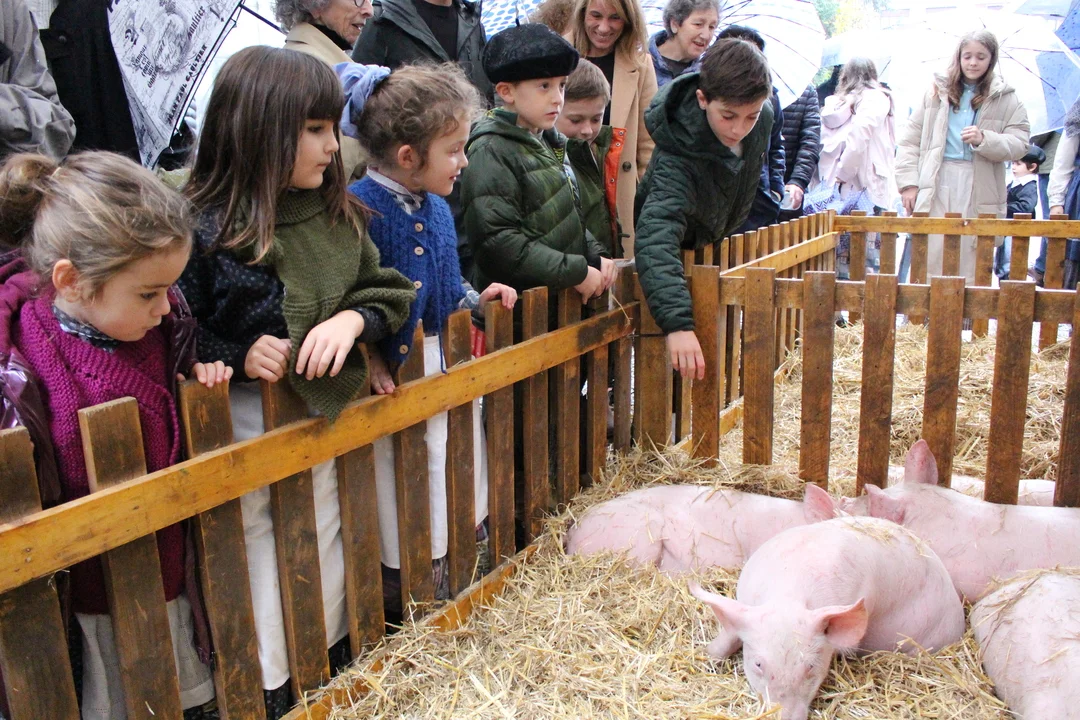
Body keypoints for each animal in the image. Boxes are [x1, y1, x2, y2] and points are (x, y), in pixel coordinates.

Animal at [690, 516, 965, 720]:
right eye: (758, 664)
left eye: (811, 666)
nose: (785, 715)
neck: (788, 598)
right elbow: (729, 633)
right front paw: (708, 656)